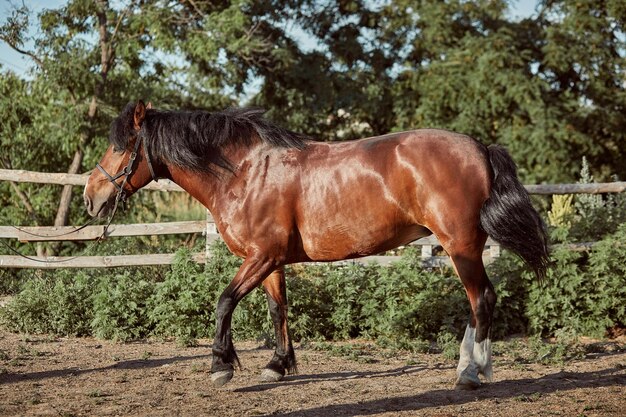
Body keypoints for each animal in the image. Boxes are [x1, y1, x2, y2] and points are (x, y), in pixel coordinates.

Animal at [84, 101, 544, 390]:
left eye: (119, 147)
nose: (91, 197)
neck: (245, 171)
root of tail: (479, 148)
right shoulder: (270, 260)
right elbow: (278, 309)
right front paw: (277, 366)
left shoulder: (261, 257)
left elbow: (224, 302)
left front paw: (220, 365)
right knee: (478, 302)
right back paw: (469, 367)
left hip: (460, 246)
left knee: (481, 300)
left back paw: (471, 373)